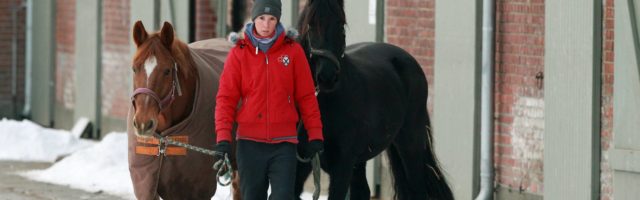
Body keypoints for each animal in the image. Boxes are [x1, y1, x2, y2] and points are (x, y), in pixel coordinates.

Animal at [127, 21, 240, 199]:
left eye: (167, 71)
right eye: (134, 68)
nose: (143, 123)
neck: (164, 141)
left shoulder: (193, 188)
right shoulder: (148, 183)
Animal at [296, 0, 456, 200]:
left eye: (341, 25)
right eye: (310, 25)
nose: (327, 77)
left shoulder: (342, 165)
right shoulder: (300, 164)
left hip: (410, 146)